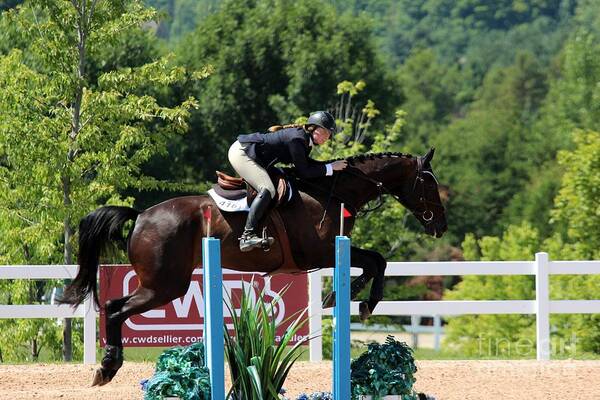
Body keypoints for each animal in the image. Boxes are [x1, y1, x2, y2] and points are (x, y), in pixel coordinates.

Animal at [59, 148, 446, 386]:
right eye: (429, 183)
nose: (440, 226)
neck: (332, 191)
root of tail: (140, 216)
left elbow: (377, 261)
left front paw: (351, 298)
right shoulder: (318, 254)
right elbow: (375, 261)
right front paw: (356, 299)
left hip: (162, 284)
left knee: (113, 306)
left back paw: (107, 367)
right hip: (164, 285)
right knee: (115, 307)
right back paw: (108, 366)